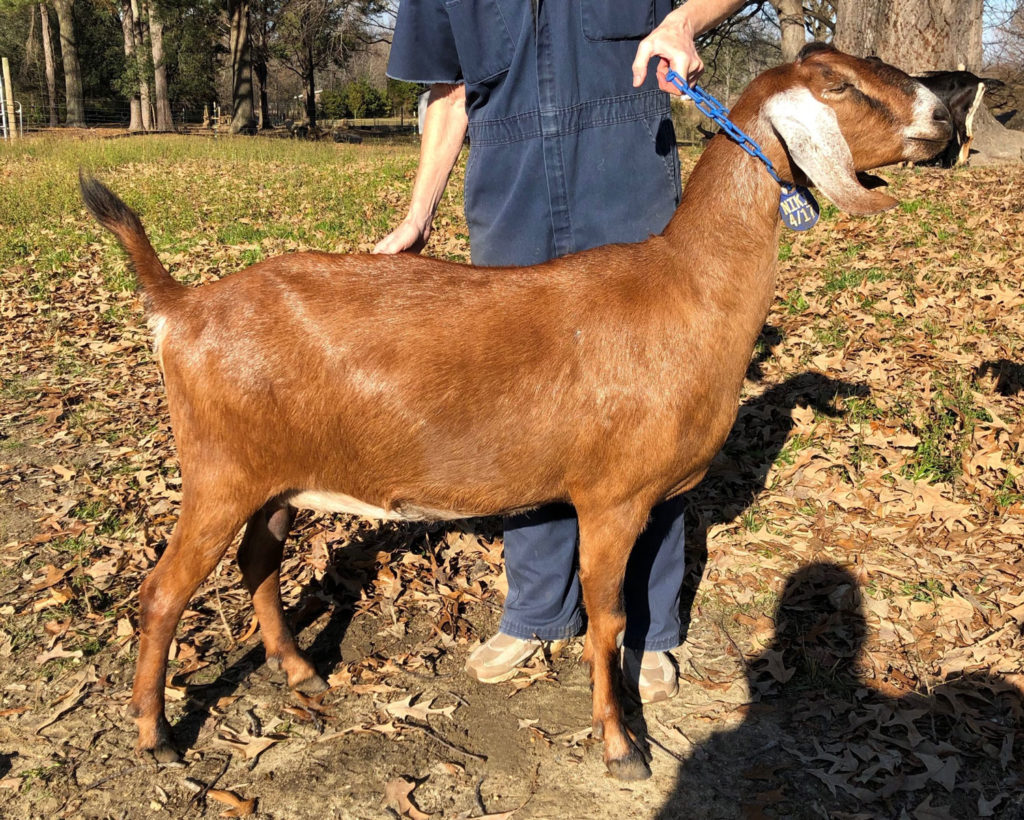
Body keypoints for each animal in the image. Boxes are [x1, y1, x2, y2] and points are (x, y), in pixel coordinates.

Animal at [81, 46, 950, 782]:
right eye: (839, 84)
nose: (945, 113)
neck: (685, 292)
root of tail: (180, 307)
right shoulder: (611, 497)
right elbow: (609, 620)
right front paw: (620, 746)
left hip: (273, 479)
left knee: (256, 564)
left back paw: (301, 674)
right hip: (219, 472)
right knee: (161, 592)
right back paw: (157, 738)